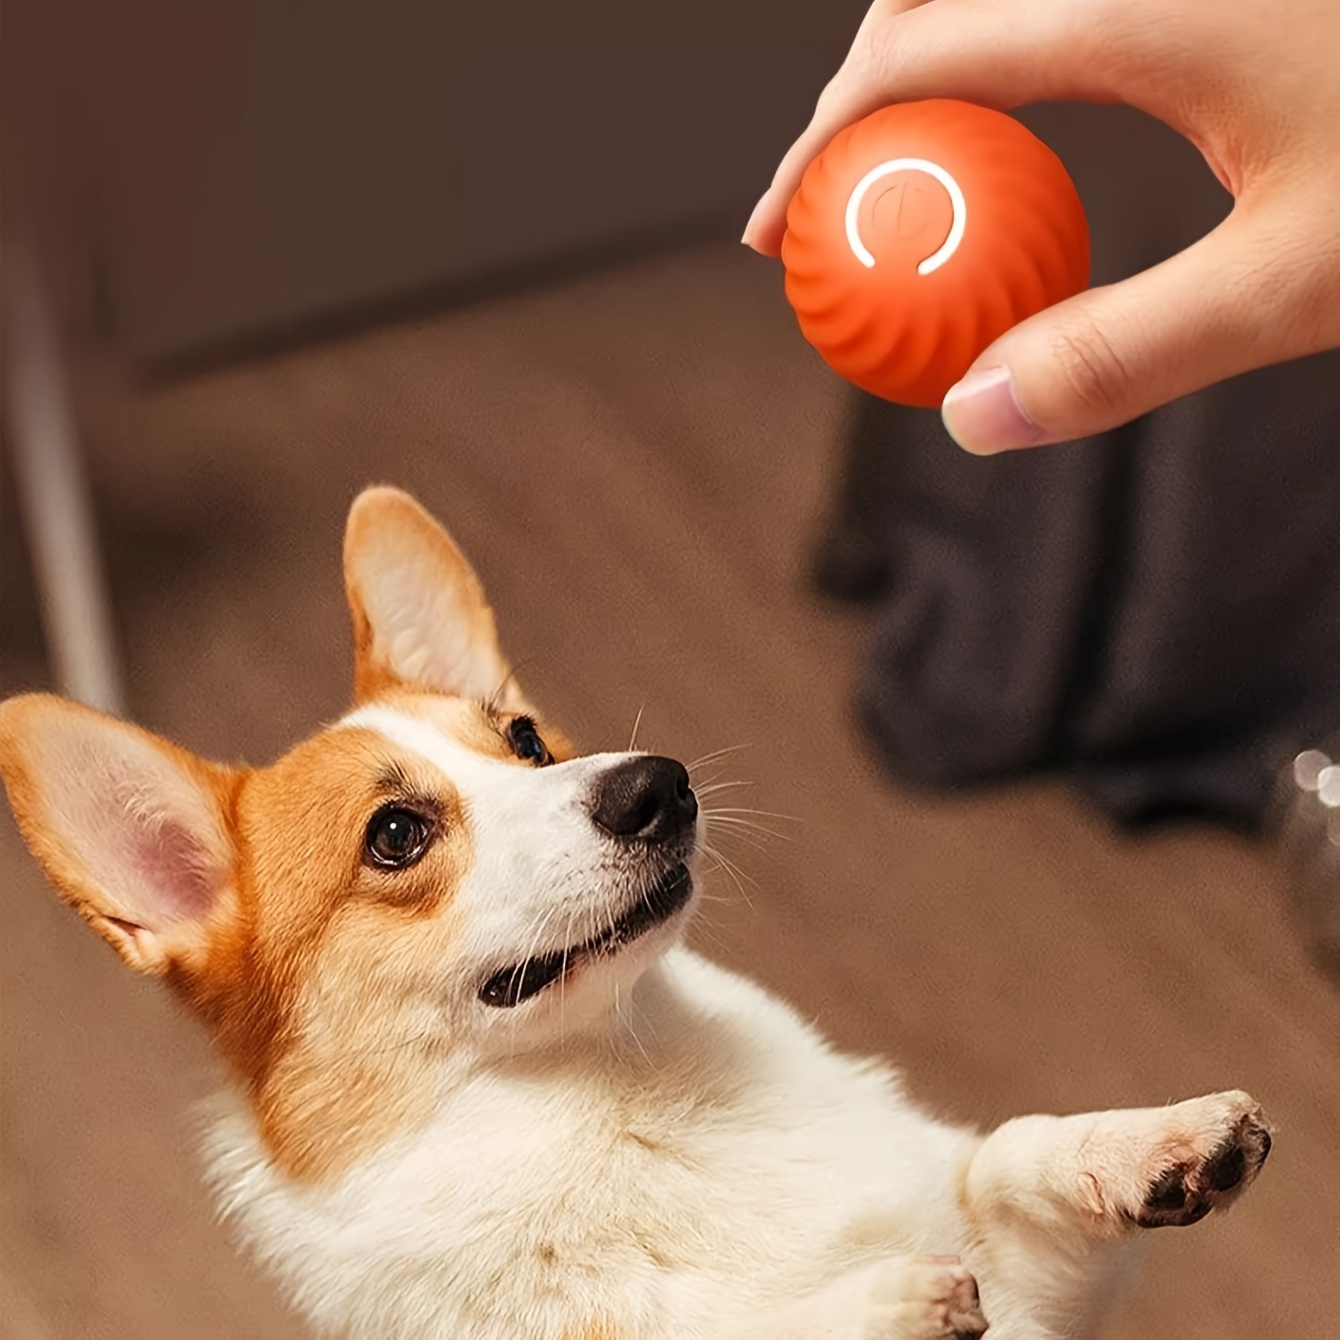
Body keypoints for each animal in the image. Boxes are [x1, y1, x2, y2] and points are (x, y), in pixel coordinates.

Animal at [2, 485, 1275, 1340]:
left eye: (524, 739)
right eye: (397, 835)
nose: (658, 782)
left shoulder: (1033, 1279)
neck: (627, 1093)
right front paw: (880, 1299)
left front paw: (1163, 1141)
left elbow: (1007, 1153)